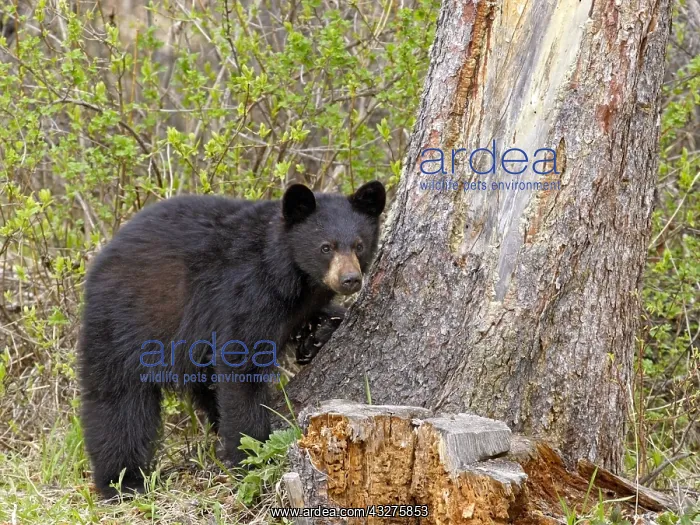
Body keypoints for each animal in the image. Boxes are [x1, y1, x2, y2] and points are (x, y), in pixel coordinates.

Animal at [78, 181, 386, 498]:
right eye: (325, 247)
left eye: (359, 245)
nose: (350, 279)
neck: (289, 272)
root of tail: (102, 258)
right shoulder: (244, 292)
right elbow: (241, 365)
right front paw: (251, 455)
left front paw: (318, 335)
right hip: (126, 319)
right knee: (118, 399)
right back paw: (122, 480)